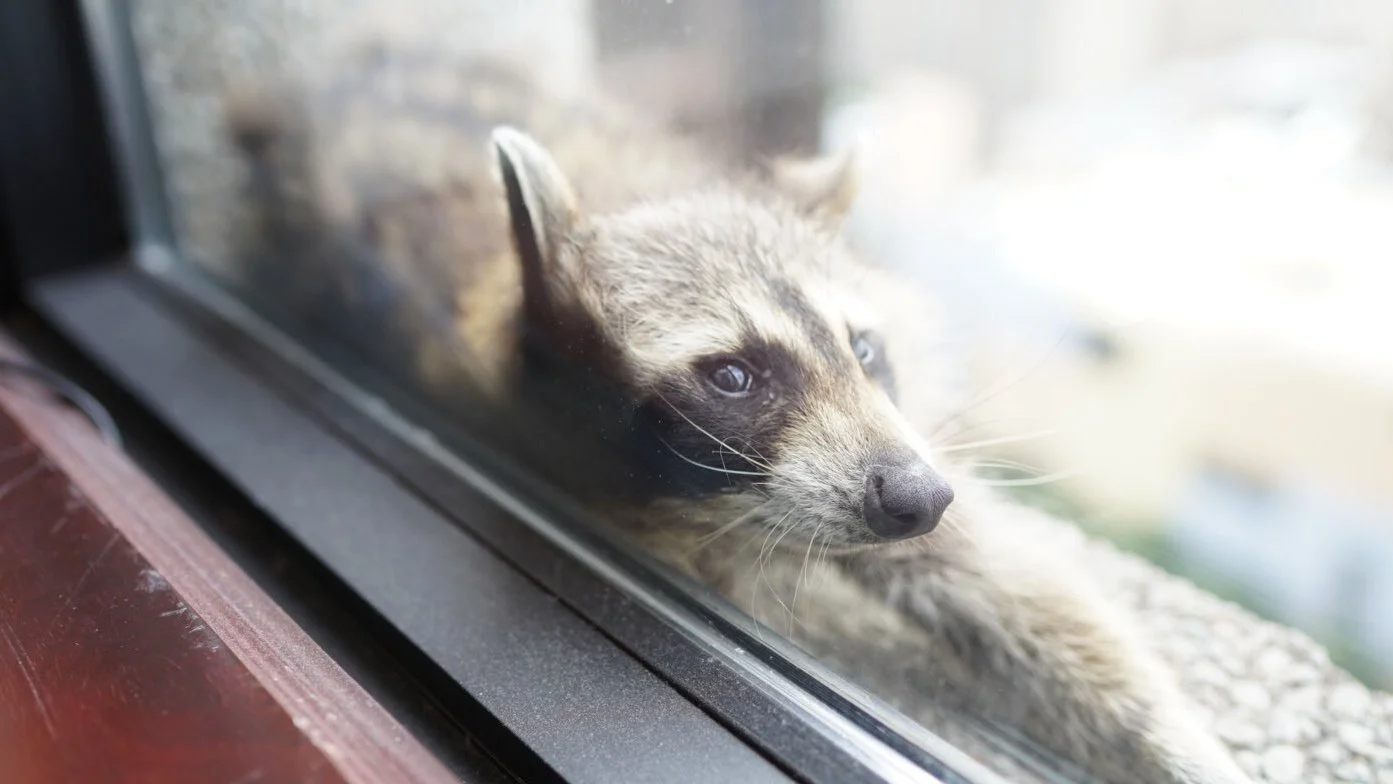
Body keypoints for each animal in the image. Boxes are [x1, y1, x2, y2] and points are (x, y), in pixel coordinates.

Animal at [223, 45, 1252, 784]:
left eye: (862, 348)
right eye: (732, 377)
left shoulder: (886, 444)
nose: (919, 497)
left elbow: (1013, 583)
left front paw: (1179, 743)